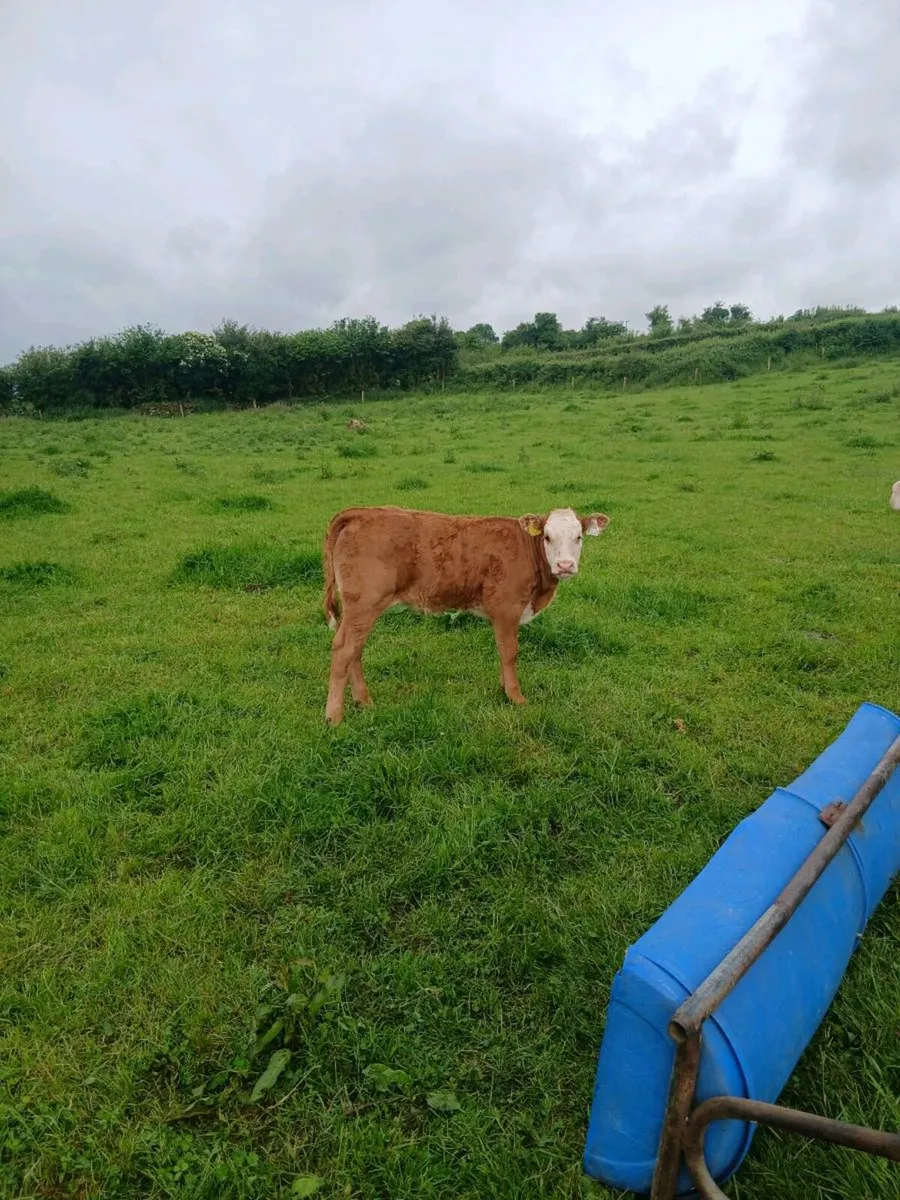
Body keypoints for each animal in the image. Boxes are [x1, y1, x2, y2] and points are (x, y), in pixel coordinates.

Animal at [322, 505, 610, 725]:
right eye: (548, 537)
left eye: (579, 537)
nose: (565, 565)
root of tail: (361, 512)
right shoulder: (506, 608)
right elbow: (510, 652)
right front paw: (515, 697)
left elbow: (502, 651)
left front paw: (503, 688)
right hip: (365, 604)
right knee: (344, 650)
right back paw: (334, 717)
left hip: (358, 610)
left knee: (354, 650)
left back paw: (363, 701)